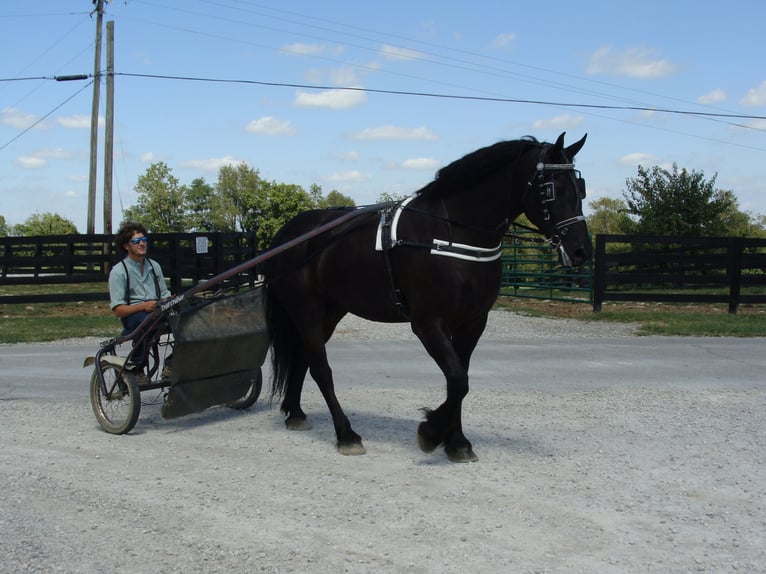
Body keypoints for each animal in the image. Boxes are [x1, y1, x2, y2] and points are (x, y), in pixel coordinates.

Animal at [266, 132, 592, 464]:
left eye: (580, 187)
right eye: (551, 187)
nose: (580, 250)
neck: (451, 233)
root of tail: (288, 235)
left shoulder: (472, 323)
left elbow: (458, 380)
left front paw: (457, 443)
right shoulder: (427, 323)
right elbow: (458, 380)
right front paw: (431, 432)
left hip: (330, 312)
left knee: (304, 358)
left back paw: (296, 413)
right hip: (307, 310)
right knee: (321, 368)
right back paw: (347, 435)